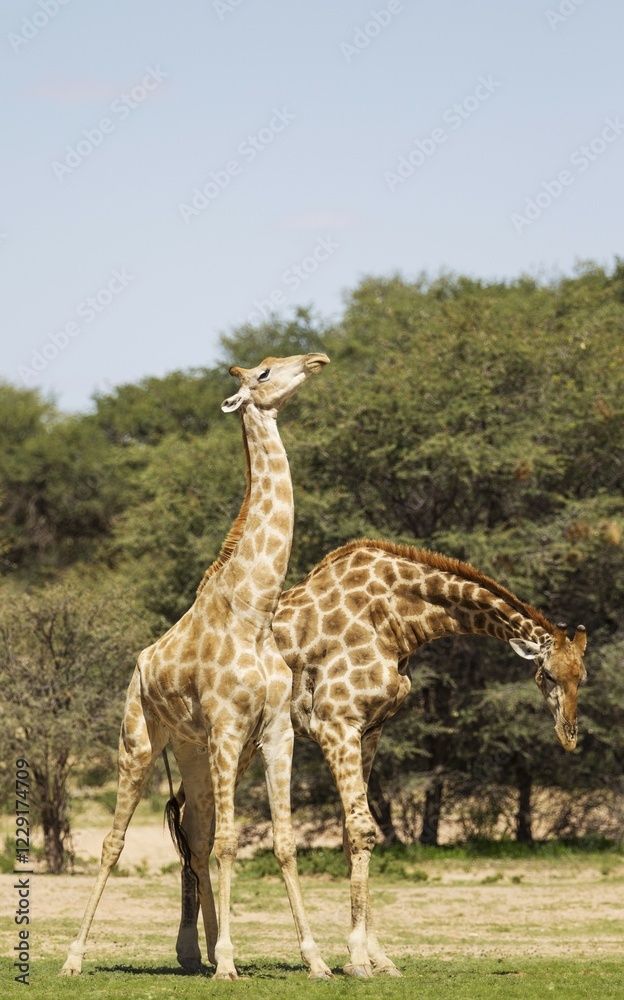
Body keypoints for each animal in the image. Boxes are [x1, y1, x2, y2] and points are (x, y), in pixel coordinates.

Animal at [60, 353, 332, 982]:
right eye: (263, 374)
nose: (315, 359)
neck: (255, 609)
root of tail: (140, 664)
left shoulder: (276, 732)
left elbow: (281, 843)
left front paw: (315, 959)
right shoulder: (231, 728)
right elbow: (233, 842)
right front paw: (230, 961)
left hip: (191, 751)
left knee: (196, 835)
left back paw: (198, 951)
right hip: (139, 739)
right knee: (117, 841)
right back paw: (76, 956)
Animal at [174, 538, 587, 977]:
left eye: (582, 676)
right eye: (547, 674)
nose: (568, 735)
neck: (396, 620)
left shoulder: (371, 728)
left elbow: (351, 835)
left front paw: (379, 957)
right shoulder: (336, 724)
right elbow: (362, 829)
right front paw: (357, 957)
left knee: (192, 826)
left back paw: (198, 952)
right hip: (221, 741)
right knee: (197, 830)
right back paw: (199, 952)